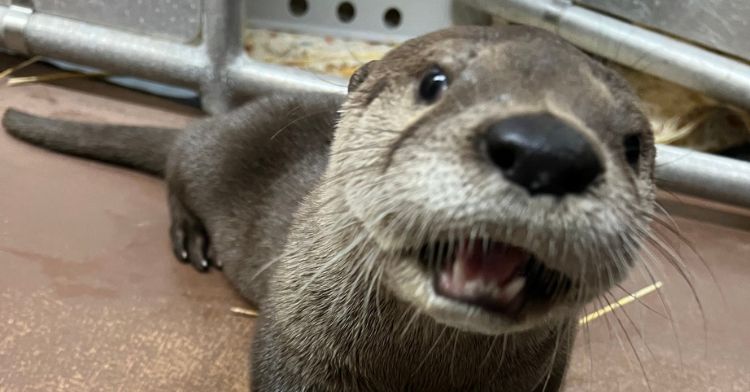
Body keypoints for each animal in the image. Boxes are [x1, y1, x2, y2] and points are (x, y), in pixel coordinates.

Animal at [2, 26, 656, 390]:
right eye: (435, 82)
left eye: (633, 146)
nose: (547, 151)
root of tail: (222, 120)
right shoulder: (290, 353)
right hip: (204, 157)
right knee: (175, 166)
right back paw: (190, 236)